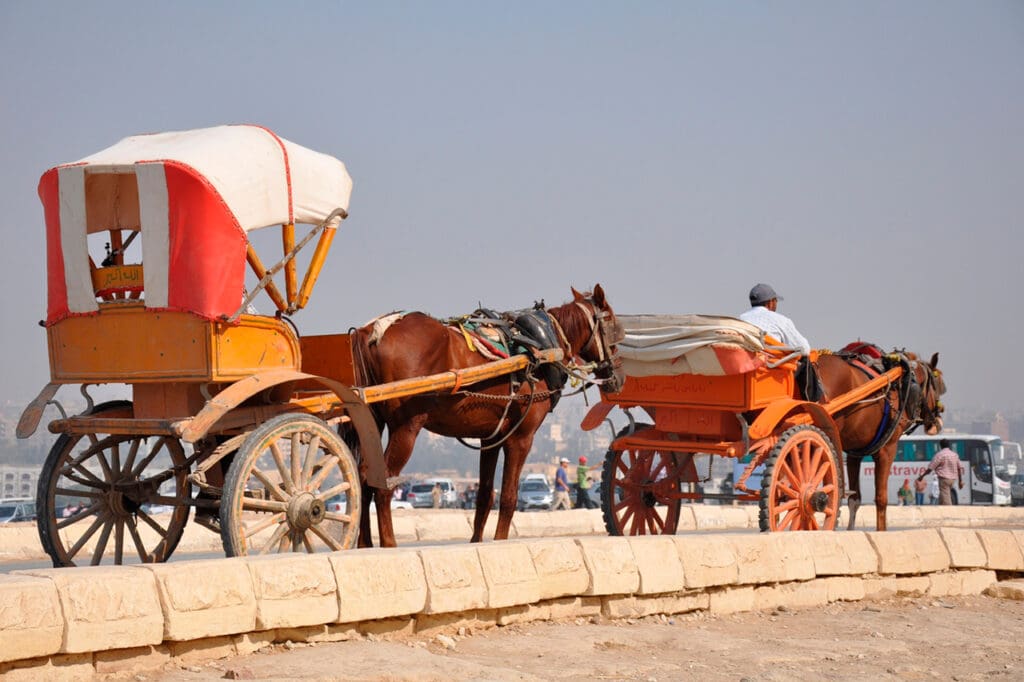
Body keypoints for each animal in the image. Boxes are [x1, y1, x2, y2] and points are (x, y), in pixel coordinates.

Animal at [352, 284, 622, 544]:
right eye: (612, 324)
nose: (617, 377)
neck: (541, 348)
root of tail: (370, 332)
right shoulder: (521, 438)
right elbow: (509, 496)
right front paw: (500, 539)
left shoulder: (491, 438)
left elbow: (485, 495)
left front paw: (476, 541)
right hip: (406, 426)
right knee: (384, 482)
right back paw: (388, 544)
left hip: (372, 421)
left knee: (363, 477)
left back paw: (364, 544)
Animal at [819, 346, 946, 532]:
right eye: (938, 386)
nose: (936, 422)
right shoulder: (888, 449)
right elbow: (881, 498)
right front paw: (881, 531)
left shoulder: (855, 453)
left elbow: (854, 499)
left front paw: (850, 531)